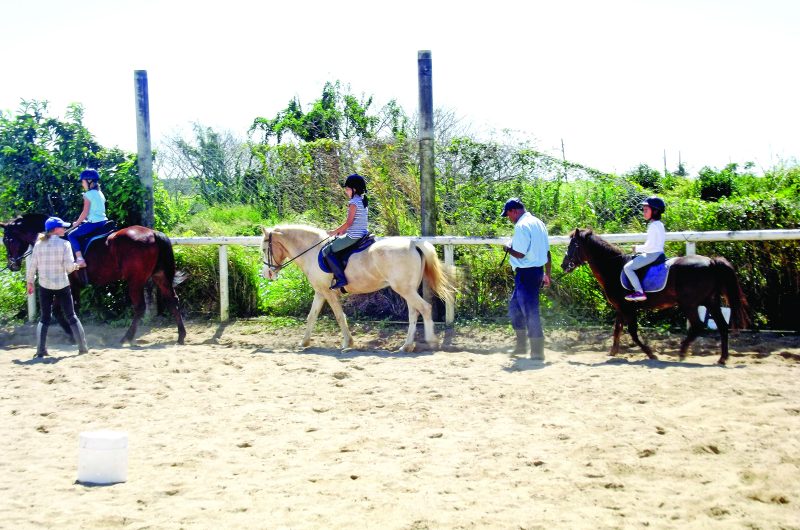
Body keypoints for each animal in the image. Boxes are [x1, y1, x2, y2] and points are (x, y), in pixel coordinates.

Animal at [2, 212, 186, 344]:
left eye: (7, 239)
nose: (12, 265)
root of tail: (153, 233)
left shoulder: (70, 284)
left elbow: (67, 309)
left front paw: (72, 335)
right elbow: (59, 310)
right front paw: (71, 335)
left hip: (136, 280)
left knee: (140, 307)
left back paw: (126, 338)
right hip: (159, 276)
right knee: (172, 300)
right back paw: (181, 335)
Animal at [260, 223, 454, 350]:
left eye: (263, 249)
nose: (267, 274)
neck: (312, 251)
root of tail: (413, 243)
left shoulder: (328, 293)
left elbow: (340, 316)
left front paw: (348, 343)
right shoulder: (320, 292)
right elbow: (311, 316)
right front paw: (304, 342)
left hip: (405, 289)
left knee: (425, 308)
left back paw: (431, 341)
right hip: (408, 290)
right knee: (414, 313)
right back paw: (406, 346)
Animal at [560, 227, 748, 364]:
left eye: (573, 245)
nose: (563, 265)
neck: (614, 268)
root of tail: (711, 262)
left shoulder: (628, 309)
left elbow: (633, 333)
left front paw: (651, 354)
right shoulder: (621, 308)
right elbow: (617, 329)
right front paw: (612, 352)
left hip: (690, 303)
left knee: (698, 326)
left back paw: (682, 353)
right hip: (711, 301)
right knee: (722, 326)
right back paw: (722, 358)